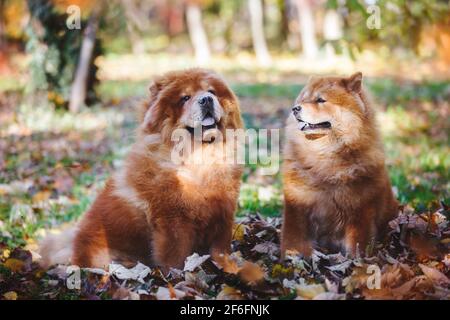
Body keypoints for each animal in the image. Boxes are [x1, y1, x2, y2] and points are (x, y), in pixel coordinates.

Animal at [41, 69, 244, 270]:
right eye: (185, 98)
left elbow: (221, 247)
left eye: (212, 92)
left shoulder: (223, 210)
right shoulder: (173, 220)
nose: (207, 99)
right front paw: (176, 273)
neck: (199, 156)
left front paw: (229, 265)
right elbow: (175, 256)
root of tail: (73, 245)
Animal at [282, 72, 398, 258]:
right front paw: (292, 256)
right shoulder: (297, 205)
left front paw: (356, 261)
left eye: (320, 100)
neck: (324, 157)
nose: (295, 109)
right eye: (304, 99)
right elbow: (293, 238)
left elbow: (357, 245)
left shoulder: (359, 212)